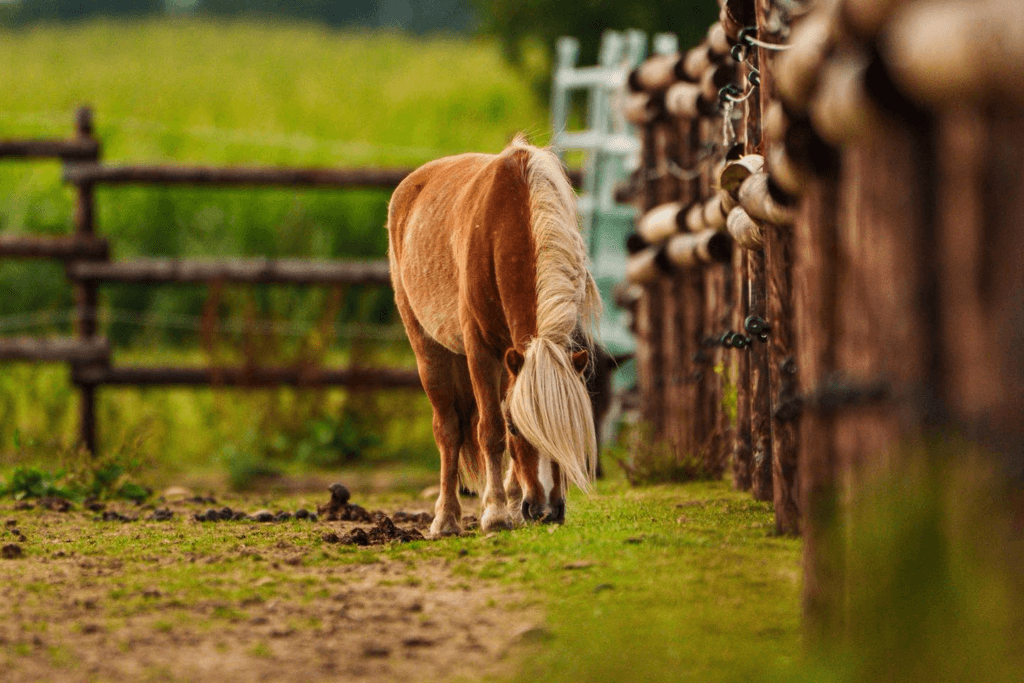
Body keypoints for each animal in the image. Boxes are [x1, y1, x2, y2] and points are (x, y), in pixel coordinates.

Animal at [387, 137, 602, 537]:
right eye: (517, 428)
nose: (547, 510)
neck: (510, 222)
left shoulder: (516, 359)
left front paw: (514, 505)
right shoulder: (481, 351)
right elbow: (490, 429)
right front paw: (497, 514)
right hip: (429, 352)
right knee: (448, 430)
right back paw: (446, 518)